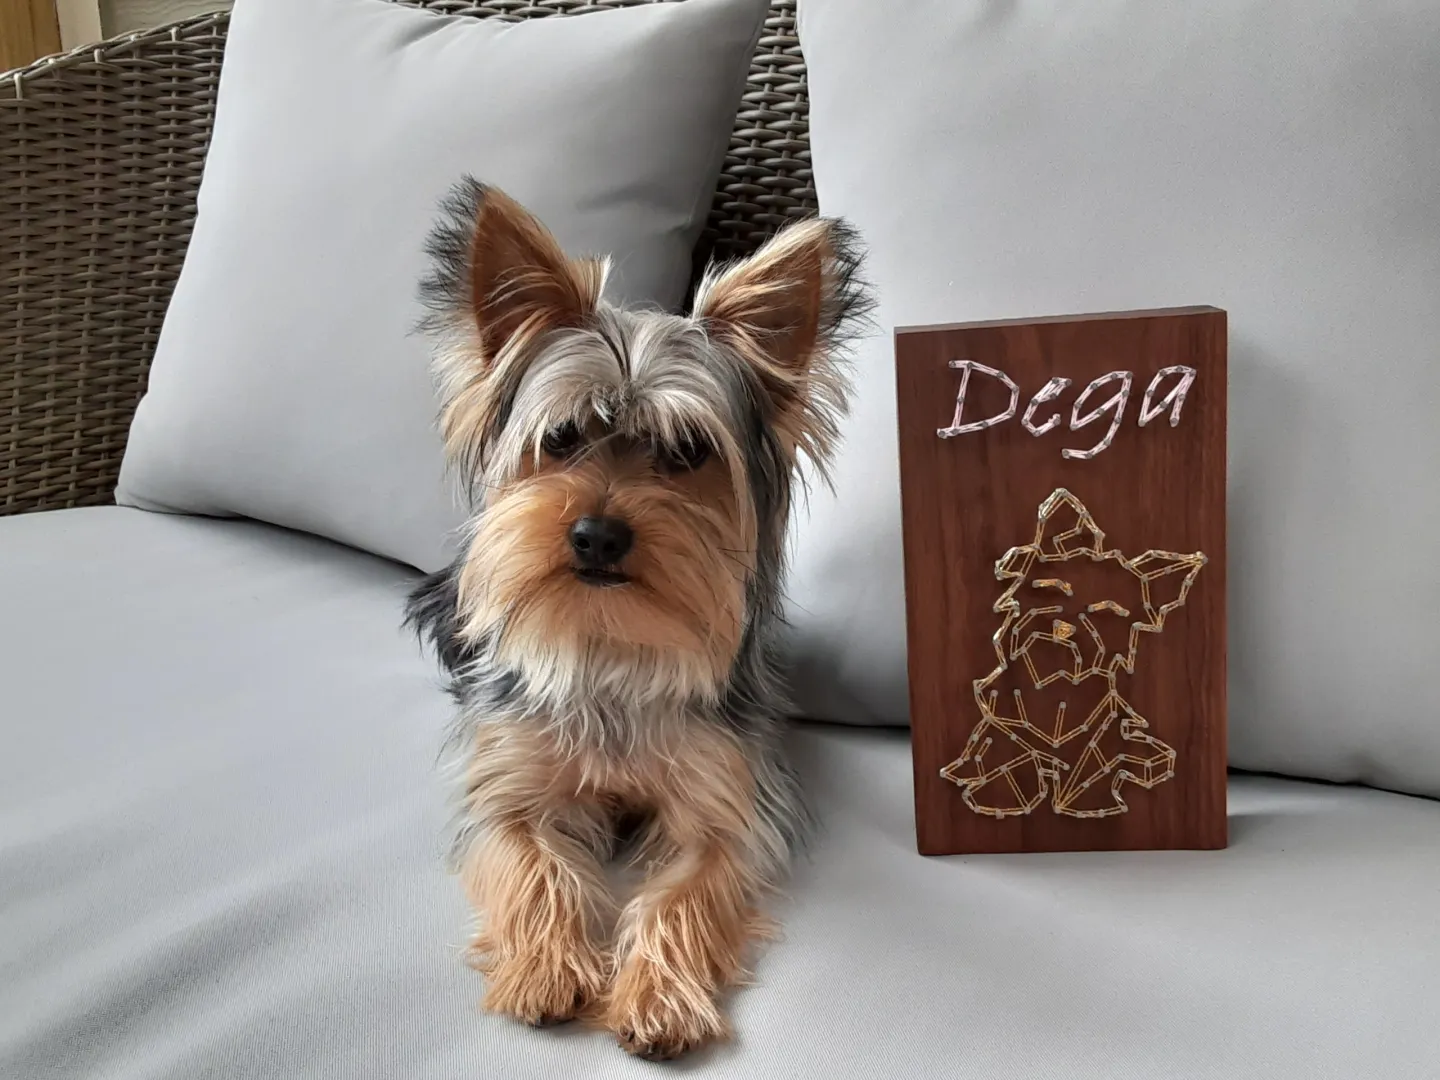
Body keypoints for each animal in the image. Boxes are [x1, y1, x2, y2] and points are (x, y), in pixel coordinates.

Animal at [406, 182, 864, 1059]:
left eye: (686, 452)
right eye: (560, 436)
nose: (597, 534)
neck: (613, 638)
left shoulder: (724, 802)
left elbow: (685, 890)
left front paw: (657, 998)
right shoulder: (509, 782)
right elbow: (531, 859)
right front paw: (548, 968)